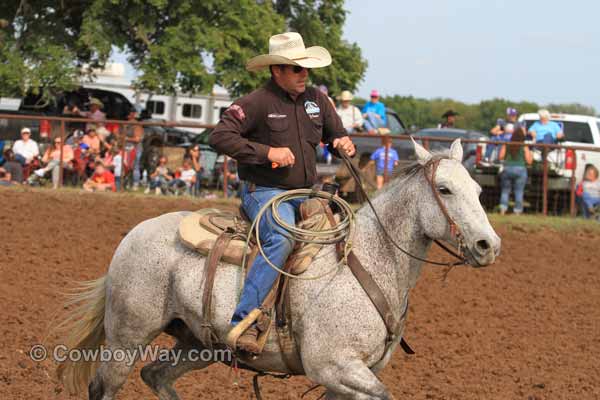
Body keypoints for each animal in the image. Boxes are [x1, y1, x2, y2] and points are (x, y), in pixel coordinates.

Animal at [57, 139, 502, 398]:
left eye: (478, 190)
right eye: (444, 189)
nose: (489, 246)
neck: (370, 263)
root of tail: (135, 232)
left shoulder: (349, 377)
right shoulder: (334, 366)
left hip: (199, 344)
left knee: (156, 376)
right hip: (127, 337)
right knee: (105, 386)